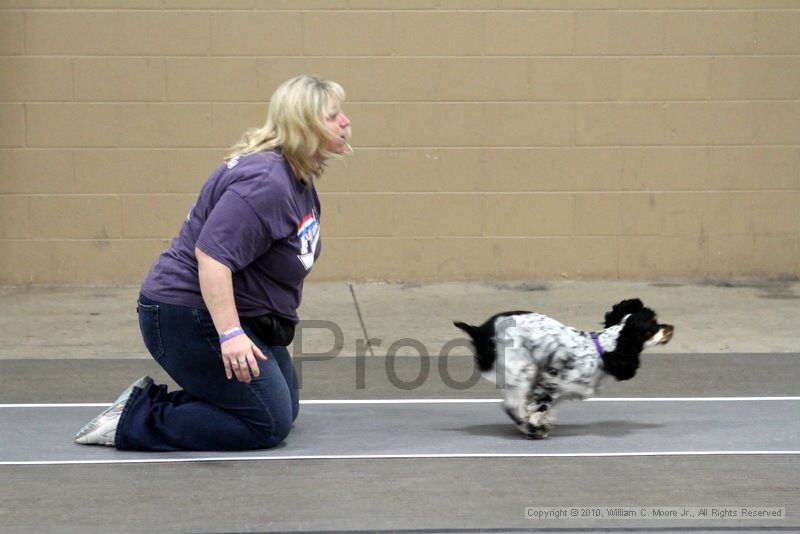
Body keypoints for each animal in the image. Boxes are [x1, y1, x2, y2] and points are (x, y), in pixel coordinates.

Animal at [454, 300, 672, 442]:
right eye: (652, 327)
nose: (671, 328)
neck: (602, 350)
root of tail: (480, 330)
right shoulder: (549, 380)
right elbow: (540, 405)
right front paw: (534, 427)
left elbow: (543, 408)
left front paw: (541, 424)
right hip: (524, 368)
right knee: (511, 406)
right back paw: (529, 428)